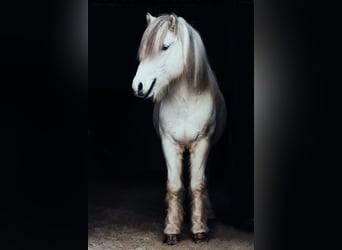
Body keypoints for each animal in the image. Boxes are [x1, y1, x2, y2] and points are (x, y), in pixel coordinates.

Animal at [132, 12, 227, 244]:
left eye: (164, 47)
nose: (137, 86)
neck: (186, 102)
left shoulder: (202, 144)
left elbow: (197, 184)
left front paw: (199, 229)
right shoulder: (169, 144)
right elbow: (175, 185)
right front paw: (172, 229)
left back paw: (208, 213)